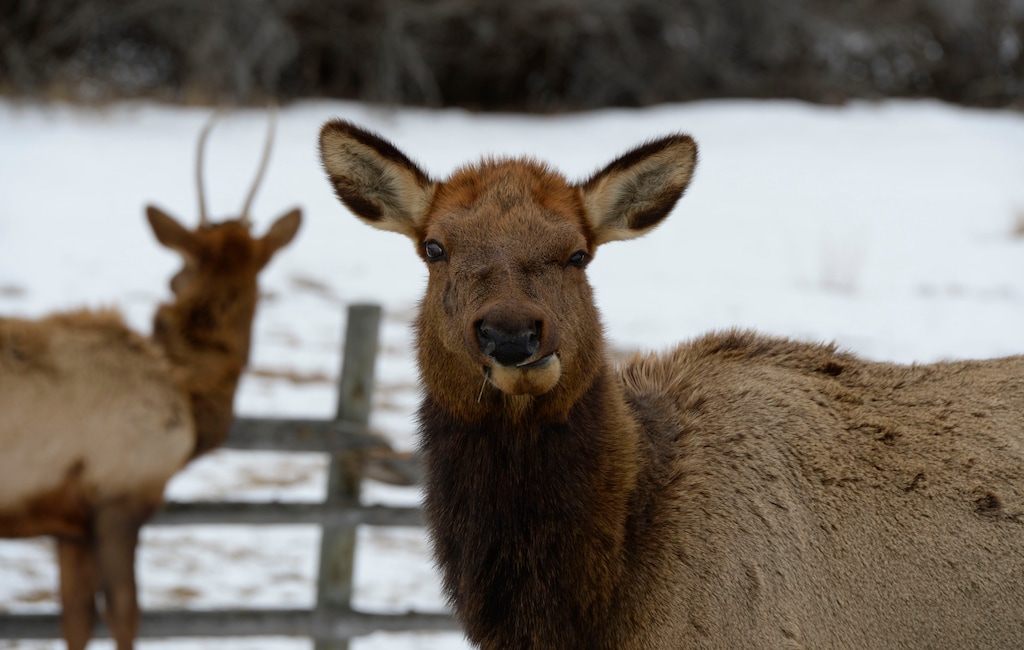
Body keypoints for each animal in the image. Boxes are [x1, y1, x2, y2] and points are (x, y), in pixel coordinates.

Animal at [0, 111, 301, 650]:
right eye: (177, 271)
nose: (173, 280)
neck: (189, 393)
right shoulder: (120, 499)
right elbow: (125, 617)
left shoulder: (71, 524)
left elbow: (75, 622)